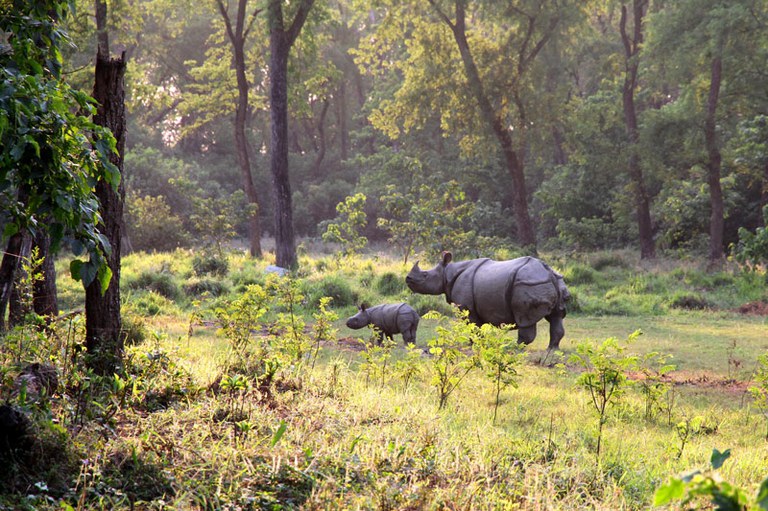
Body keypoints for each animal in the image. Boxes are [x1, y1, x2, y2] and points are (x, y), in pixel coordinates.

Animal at [404, 253, 568, 350]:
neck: (447, 273)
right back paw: (552, 350)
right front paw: (479, 344)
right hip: (553, 281)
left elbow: (472, 326)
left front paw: (472, 345)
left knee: (524, 319)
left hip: (528, 284)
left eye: (425, 275)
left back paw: (511, 348)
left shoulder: (467, 308)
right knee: (556, 316)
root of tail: (547, 272)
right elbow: (478, 327)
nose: (407, 279)